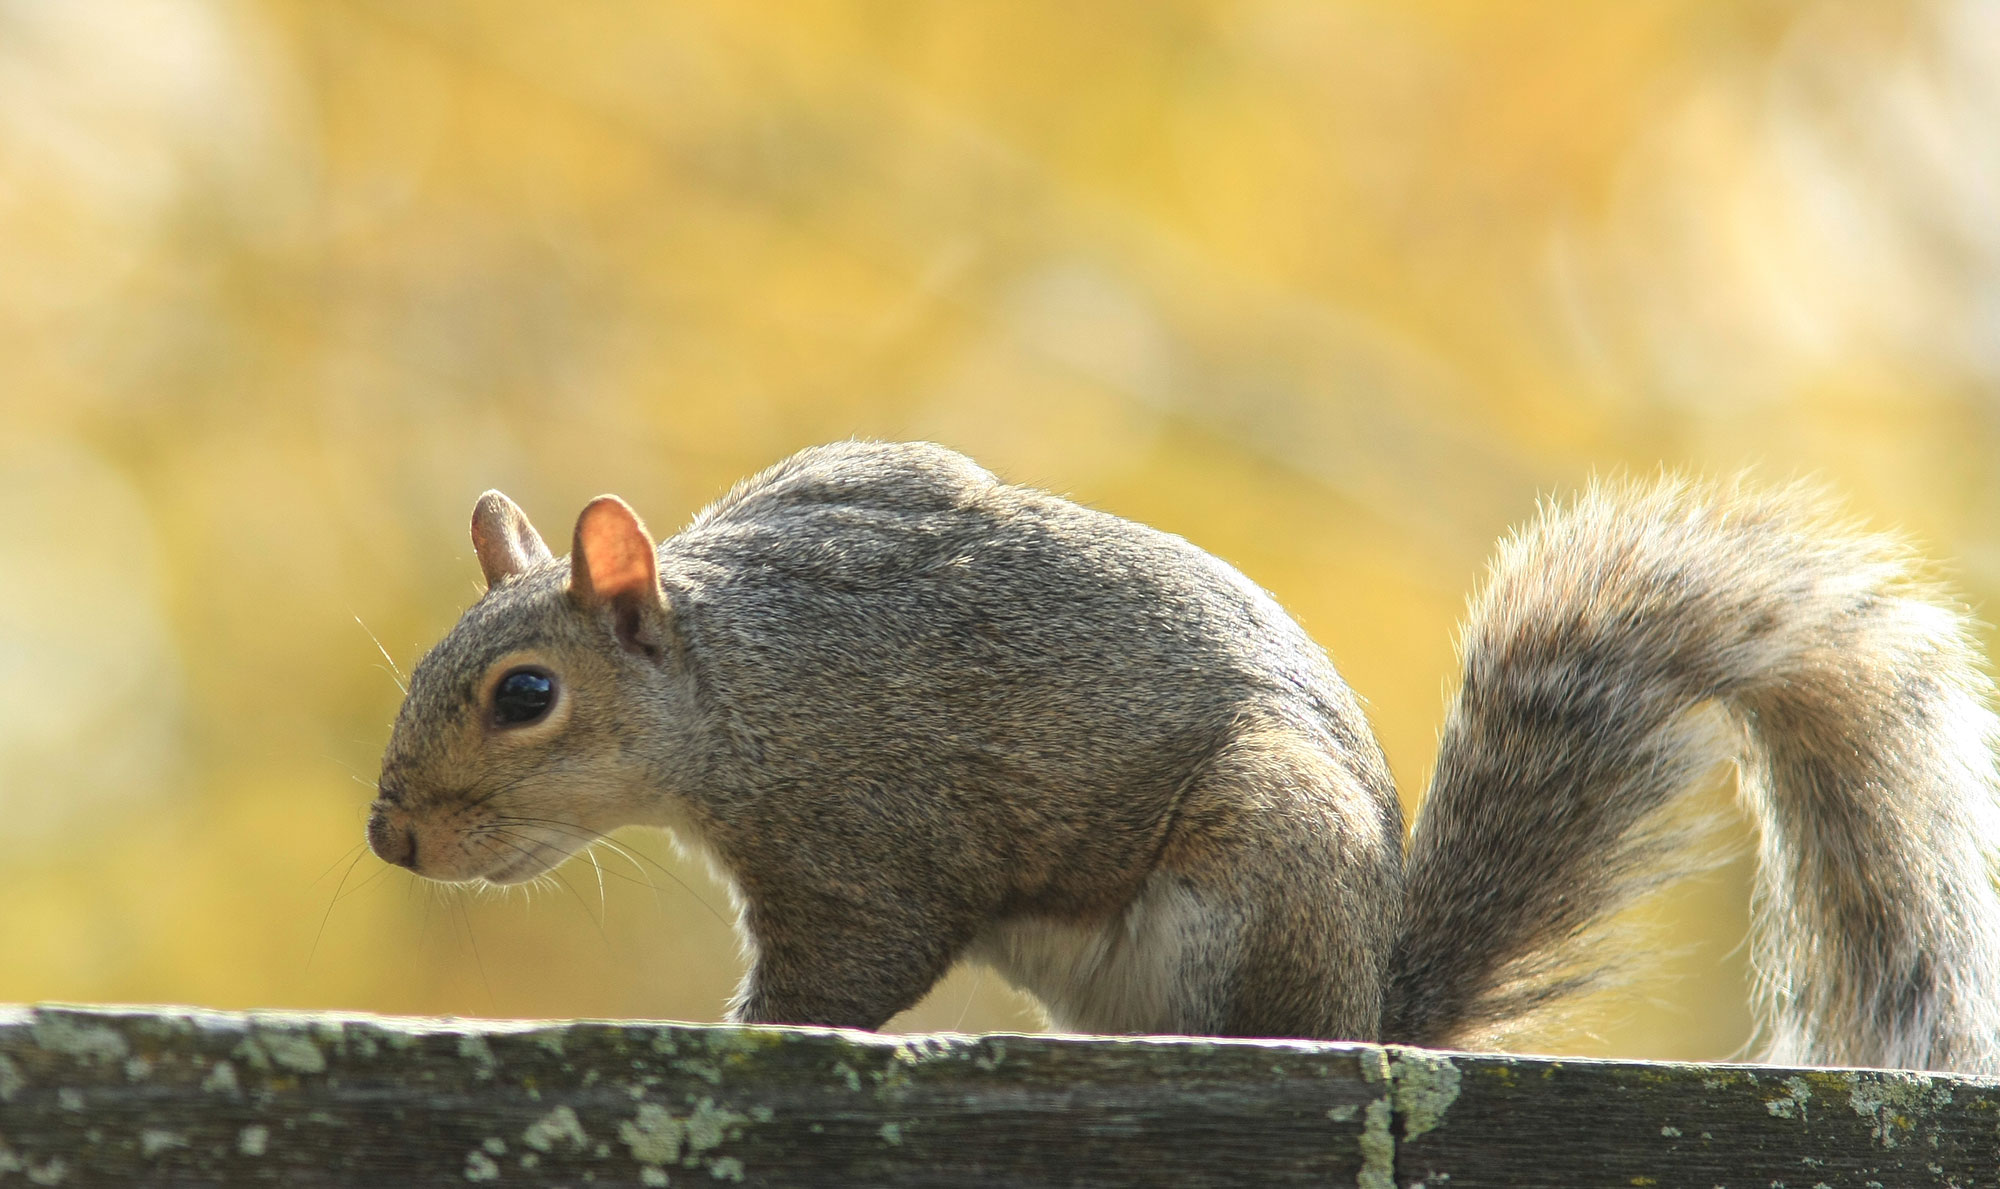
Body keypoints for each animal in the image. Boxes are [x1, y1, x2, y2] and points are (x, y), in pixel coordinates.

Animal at [368, 440, 2000, 1072]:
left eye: (525, 694)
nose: (392, 838)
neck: (740, 684)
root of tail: (1369, 1005)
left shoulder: (866, 834)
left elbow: (844, 973)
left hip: (1261, 860)